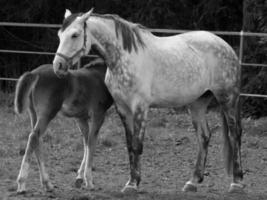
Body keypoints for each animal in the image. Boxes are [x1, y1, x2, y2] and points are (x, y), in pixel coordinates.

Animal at [15, 57, 114, 194]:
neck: (100, 76)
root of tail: (35, 73)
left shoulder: (80, 118)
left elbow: (86, 143)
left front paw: (79, 178)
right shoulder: (98, 115)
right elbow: (92, 144)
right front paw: (89, 181)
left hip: (33, 113)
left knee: (37, 140)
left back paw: (47, 184)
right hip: (47, 113)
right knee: (34, 137)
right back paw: (22, 183)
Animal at [51, 8, 245, 193]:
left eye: (75, 34)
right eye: (60, 35)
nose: (58, 66)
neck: (124, 58)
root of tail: (225, 45)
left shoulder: (140, 108)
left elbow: (137, 145)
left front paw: (133, 184)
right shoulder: (123, 109)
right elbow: (130, 145)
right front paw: (131, 181)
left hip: (227, 98)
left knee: (234, 134)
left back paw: (237, 182)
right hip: (197, 104)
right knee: (204, 136)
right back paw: (192, 182)